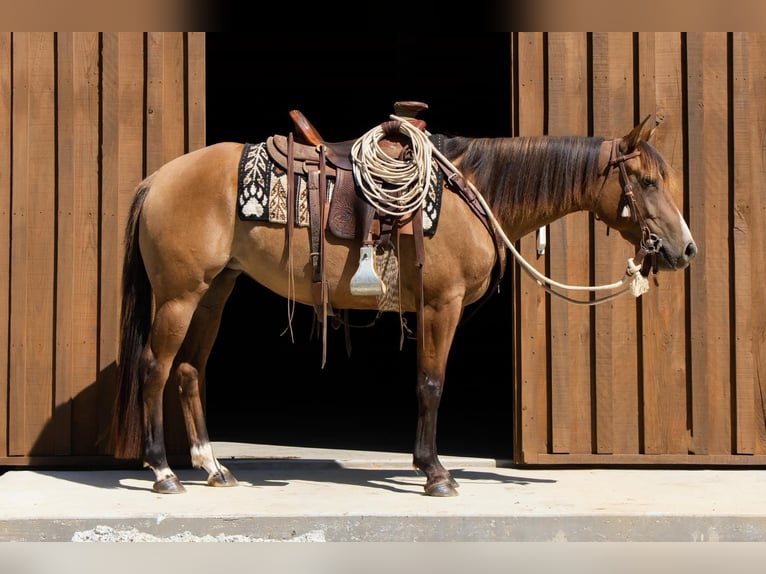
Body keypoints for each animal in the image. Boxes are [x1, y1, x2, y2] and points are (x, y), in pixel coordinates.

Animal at [108, 110, 697, 496]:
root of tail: (158, 178)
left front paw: (425, 466)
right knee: (154, 369)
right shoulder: (442, 304)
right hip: (179, 296)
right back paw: (163, 472)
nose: (685, 249)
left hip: (213, 292)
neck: (473, 190)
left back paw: (211, 467)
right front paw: (435, 473)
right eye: (646, 181)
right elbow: (431, 384)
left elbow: (426, 384)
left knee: (188, 371)